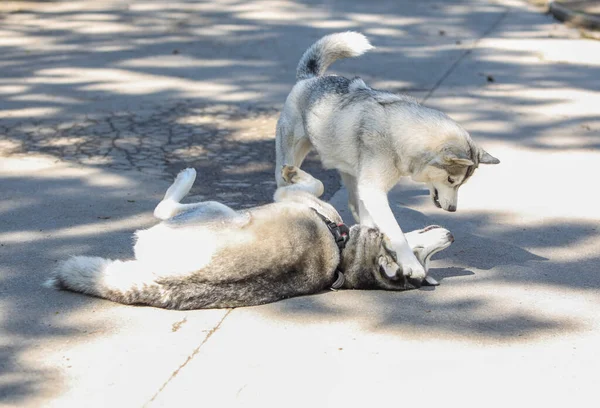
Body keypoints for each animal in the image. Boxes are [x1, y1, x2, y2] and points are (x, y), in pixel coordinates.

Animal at [47, 166, 452, 310]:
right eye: (422, 256)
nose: (449, 234)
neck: (344, 251)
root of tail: (166, 285)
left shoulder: (295, 198)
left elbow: (315, 184)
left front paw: (293, 172)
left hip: (213, 211)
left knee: (165, 208)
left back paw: (186, 176)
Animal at [274, 31, 500, 286]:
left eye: (461, 184)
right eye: (452, 181)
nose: (452, 209)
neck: (397, 135)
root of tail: (310, 79)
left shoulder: (370, 191)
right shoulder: (373, 191)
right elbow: (395, 230)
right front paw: (411, 264)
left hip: (354, 180)